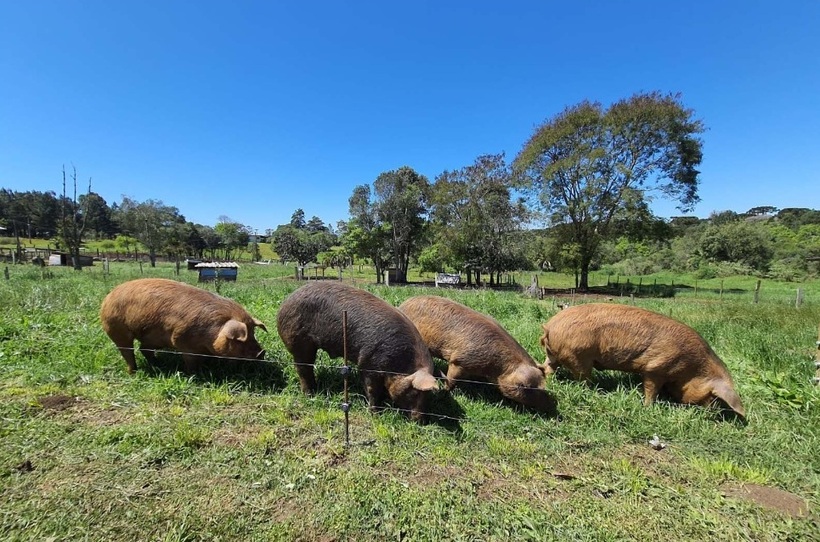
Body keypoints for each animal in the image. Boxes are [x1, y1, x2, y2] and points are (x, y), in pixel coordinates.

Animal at [100, 278, 267, 373]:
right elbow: (191, 361)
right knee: (127, 352)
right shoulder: (182, 341)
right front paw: (193, 374)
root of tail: (108, 297)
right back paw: (134, 372)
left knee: (144, 349)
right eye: (240, 340)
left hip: (152, 337)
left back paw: (158, 365)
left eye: (253, 333)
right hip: (116, 329)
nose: (262, 352)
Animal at [276, 281, 438, 421]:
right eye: (414, 392)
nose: (420, 420)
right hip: (298, 341)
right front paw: (375, 414)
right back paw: (310, 394)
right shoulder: (368, 362)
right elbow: (371, 389)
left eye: (428, 396)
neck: (399, 364)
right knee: (303, 368)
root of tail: (284, 304)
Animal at [399, 295, 556, 413]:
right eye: (528, 388)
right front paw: (445, 392)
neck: (496, 368)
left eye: (543, 384)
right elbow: (451, 380)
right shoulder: (458, 361)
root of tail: (404, 303)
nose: (551, 406)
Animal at [540, 303, 745, 418]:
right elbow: (650, 389)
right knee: (583, 379)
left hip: (555, 355)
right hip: (579, 357)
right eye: (712, 396)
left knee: (548, 368)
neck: (693, 367)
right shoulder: (655, 368)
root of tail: (550, 326)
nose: (714, 413)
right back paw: (595, 391)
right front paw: (648, 407)